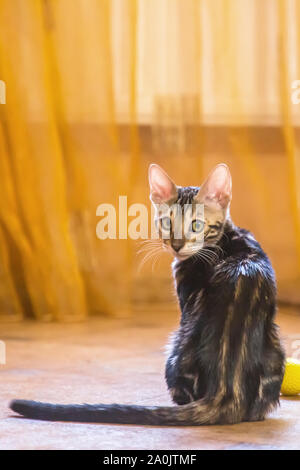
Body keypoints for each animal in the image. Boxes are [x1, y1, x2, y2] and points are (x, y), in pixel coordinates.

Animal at [9, 164, 286, 426]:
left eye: (196, 225)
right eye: (167, 223)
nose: (176, 245)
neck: (226, 239)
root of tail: (226, 390)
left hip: (175, 348)